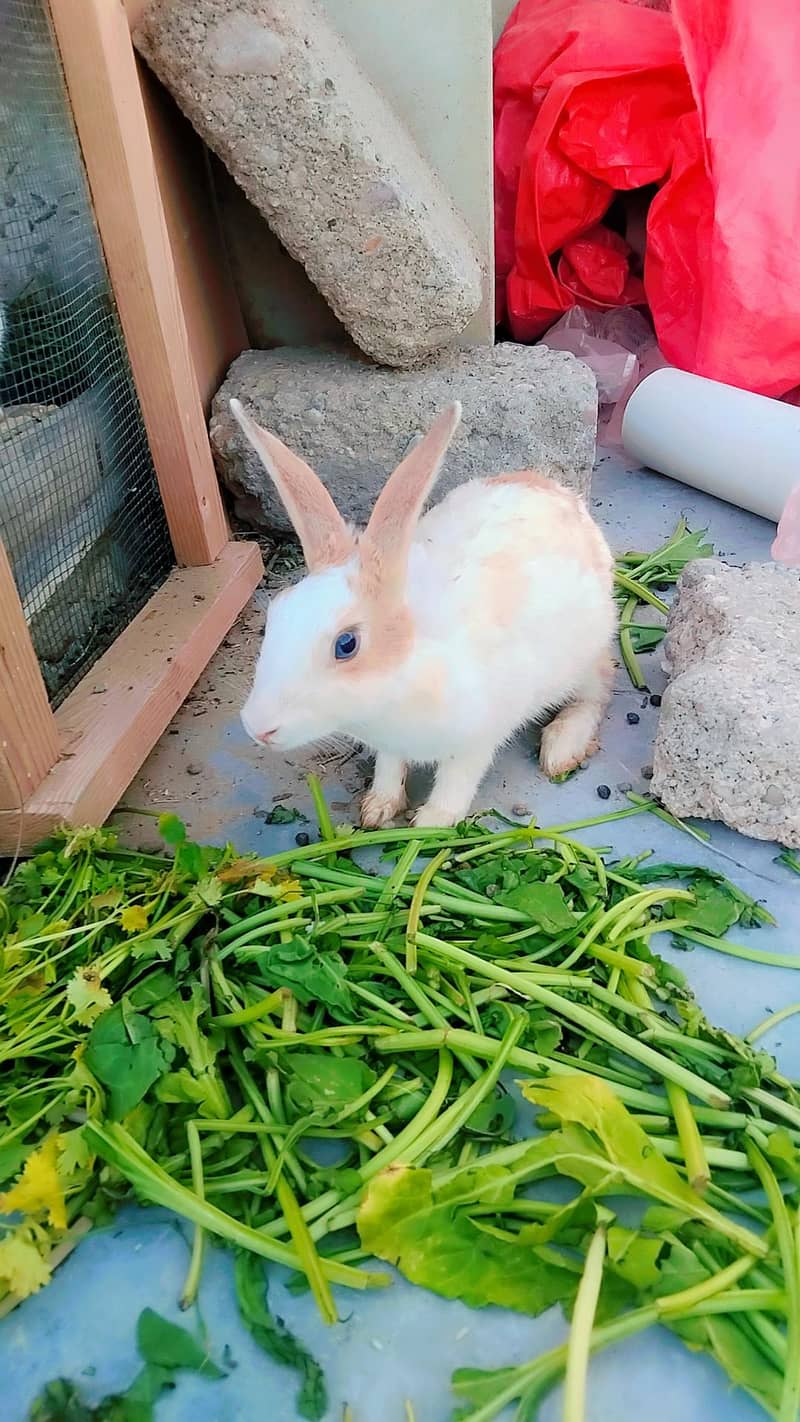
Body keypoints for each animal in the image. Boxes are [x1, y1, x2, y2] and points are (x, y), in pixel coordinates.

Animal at [231, 397, 616, 828]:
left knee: (598, 691)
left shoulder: (477, 739)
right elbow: (389, 766)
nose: (257, 727)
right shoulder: (389, 745)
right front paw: (377, 809)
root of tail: (558, 492)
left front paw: (430, 823)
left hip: (585, 657)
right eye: (273, 618)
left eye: (346, 644)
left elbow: (457, 780)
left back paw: (561, 749)